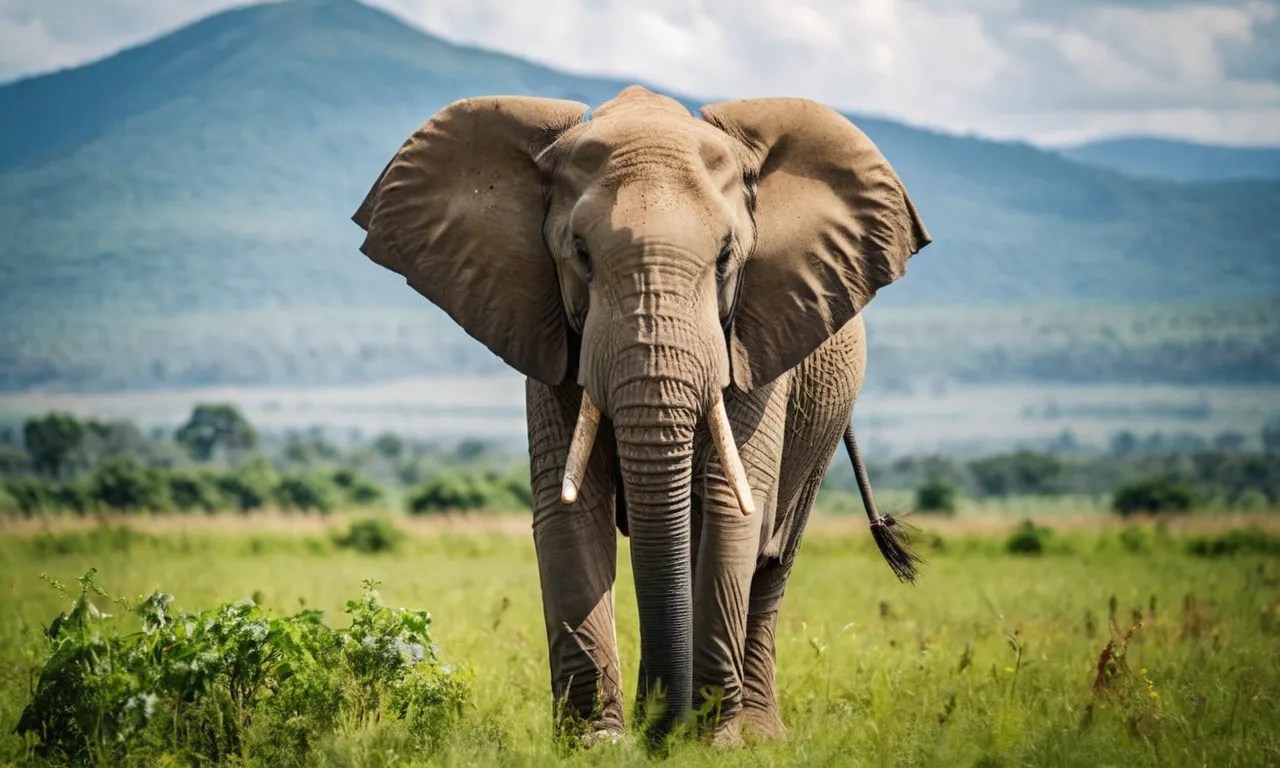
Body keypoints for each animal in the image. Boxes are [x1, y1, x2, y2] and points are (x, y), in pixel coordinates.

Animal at [351, 85, 931, 747]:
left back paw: (760, 735)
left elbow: (727, 504)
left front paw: (711, 743)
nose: (663, 732)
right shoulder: (549, 332)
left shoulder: (756, 334)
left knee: (773, 555)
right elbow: (570, 508)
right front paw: (598, 743)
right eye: (579, 254)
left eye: (727, 256)